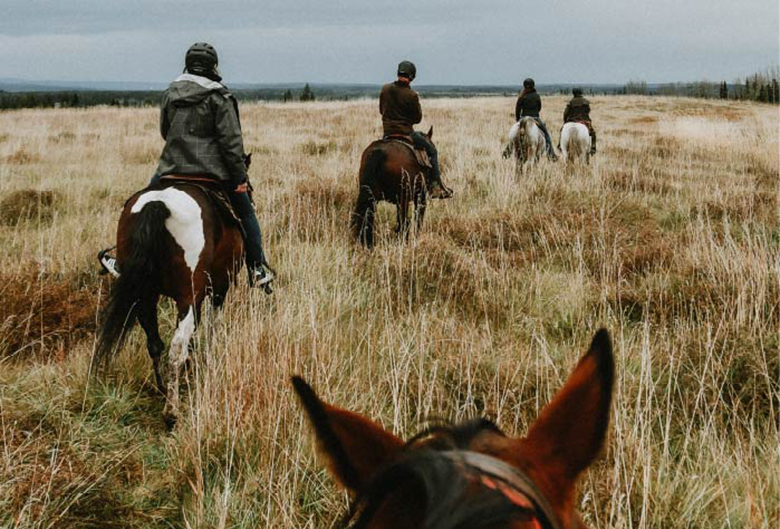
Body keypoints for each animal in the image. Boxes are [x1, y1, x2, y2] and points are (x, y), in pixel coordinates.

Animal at [96, 179, 244, 426]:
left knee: (155, 343)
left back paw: (163, 388)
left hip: (145, 295)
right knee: (176, 348)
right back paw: (171, 411)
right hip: (188, 295)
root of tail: (157, 204)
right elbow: (212, 327)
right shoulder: (219, 288)